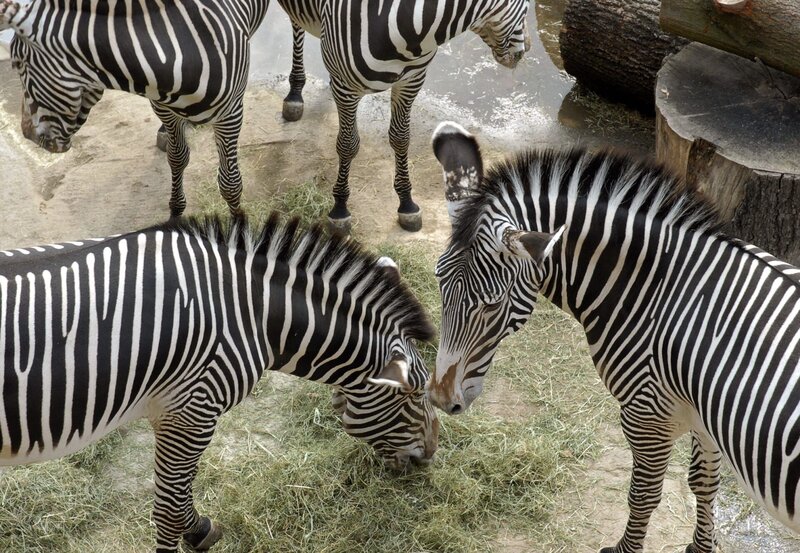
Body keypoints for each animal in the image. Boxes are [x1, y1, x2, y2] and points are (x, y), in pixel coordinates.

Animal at [0, 0, 270, 218]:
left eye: (17, 64)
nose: (26, 134)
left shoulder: (231, 114)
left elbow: (230, 182)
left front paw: (238, 226)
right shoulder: (161, 107)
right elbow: (177, 157)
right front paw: (175, 210)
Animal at [0, 213, 438, 552]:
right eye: (415, 394)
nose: (430, 457)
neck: (251, 315)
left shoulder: (175, 413)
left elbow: (176, 497)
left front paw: (200, 530)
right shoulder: (193, 410)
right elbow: (168, 507)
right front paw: (192, 533)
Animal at [274, 0, 531, 233]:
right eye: (528, 7)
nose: (527, 48)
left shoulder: (411, 81)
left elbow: (400, 138)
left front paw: (406, 203)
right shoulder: (347, 88)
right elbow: (347, 145)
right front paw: (340, 207)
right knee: (295, 24)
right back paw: (295, 92)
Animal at [427, 121, 800, 552]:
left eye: (491, 305)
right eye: (438, 284)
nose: (439, 399)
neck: (655, 290)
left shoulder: (647, 413)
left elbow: (644, 494)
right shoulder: (702, 414)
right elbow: (704, 483)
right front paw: (699, 547)